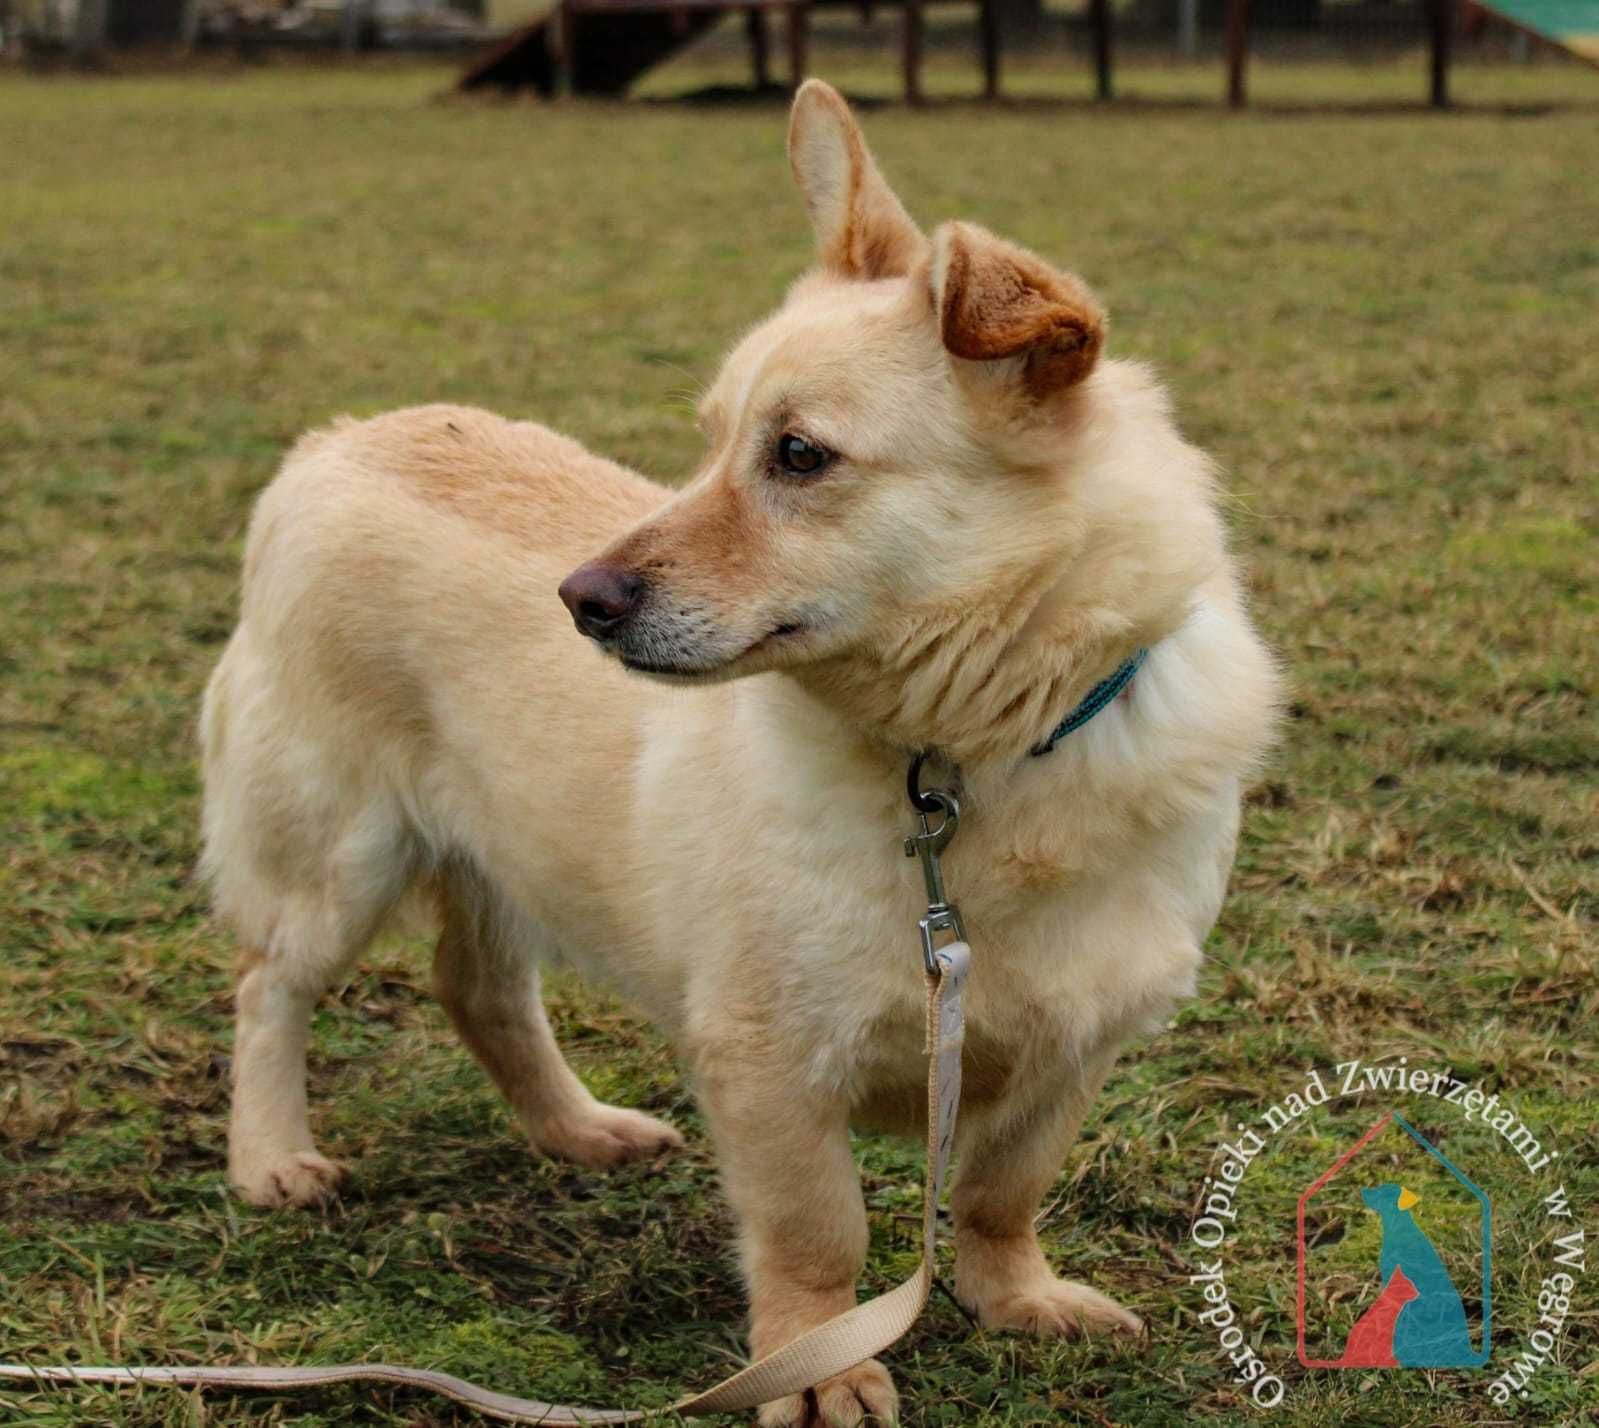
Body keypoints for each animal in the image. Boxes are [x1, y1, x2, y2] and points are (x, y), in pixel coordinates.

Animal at [199, 80, 1279, 1426]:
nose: (580, 598)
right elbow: (819, 1233)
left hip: (502, 846)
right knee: (269, 989)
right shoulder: (770, 1060)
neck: (963, 758)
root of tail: (336, 440)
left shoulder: (1078, 1038)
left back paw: (577, 1131)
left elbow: (999, 1190)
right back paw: (273, 1157)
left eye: (799, 455)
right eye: (712, 440)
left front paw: (1016, 1298)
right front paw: (818, 1363)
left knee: (481, 991)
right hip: (334, 856)